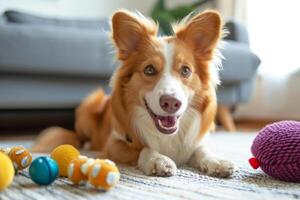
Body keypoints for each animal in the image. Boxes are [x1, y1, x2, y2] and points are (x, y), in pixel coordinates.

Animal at [32, 10, 234, 177]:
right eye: (149, 70)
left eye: (185, 70)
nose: (171, 103)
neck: (167, 136)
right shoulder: (114, 143)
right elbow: (142, 148)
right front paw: (158, 160)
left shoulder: (193, 142)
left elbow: (201, 149)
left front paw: (216, 161)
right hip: (90, 105)